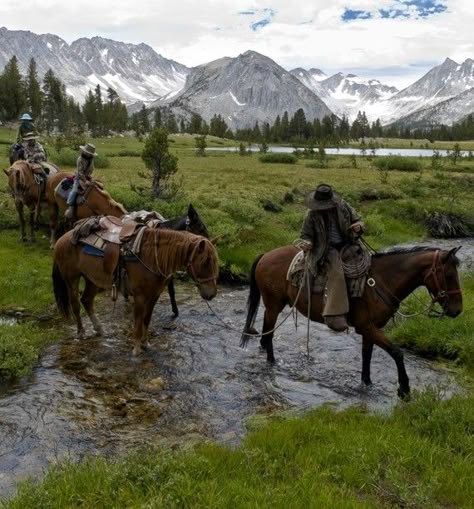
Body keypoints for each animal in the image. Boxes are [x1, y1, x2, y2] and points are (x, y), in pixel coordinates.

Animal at [51, 228, 218, 356]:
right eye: (206, 262)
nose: (211, 294)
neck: (152, 257)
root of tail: (62, 238)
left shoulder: (154, 296)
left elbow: (146, 320)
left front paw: (146, 344)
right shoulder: (140, 297)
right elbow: (137, 323)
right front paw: (136, 350)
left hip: (92, 279)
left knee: (86, 300)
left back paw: (99, 328)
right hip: (72, 279)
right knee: (75, 304)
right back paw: (81, 332)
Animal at [243, 245, 462, 396]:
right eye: (449, 275)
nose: (457, 310)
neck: (382, 281)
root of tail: (266, 255)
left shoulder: (371, 328)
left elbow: (367, 355)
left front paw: (367, 383)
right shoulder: (366, 326)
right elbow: (397, 352)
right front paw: (404, 389)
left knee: (266, 333)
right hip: (274, 305)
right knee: (269, 333)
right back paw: (272, 363)